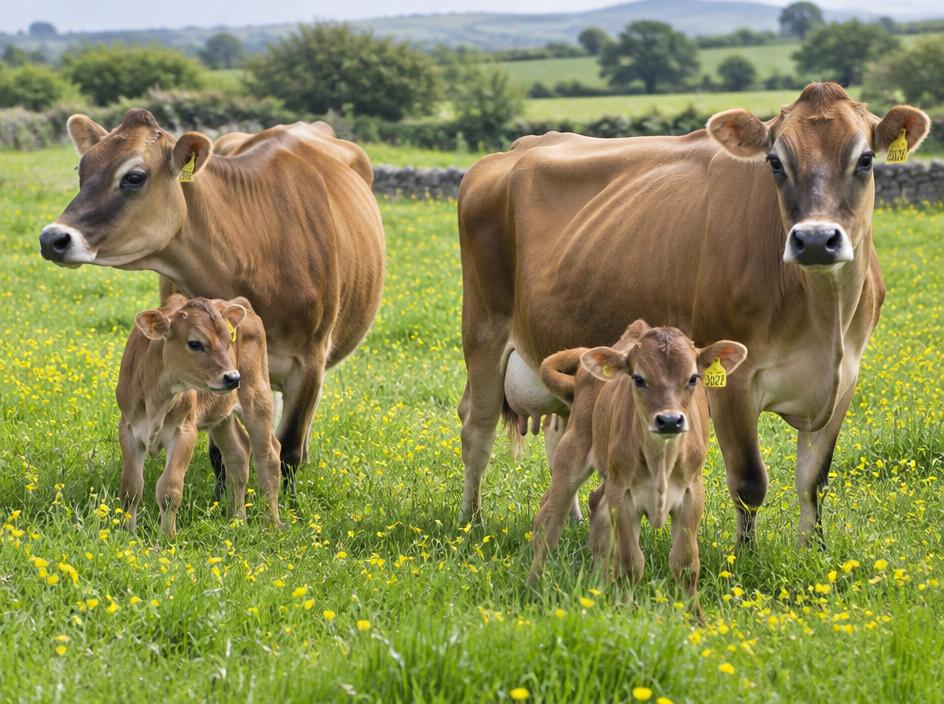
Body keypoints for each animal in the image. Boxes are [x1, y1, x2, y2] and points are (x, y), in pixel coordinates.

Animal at [39, 110, 385, 495]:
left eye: (134, 176)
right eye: (81, 171)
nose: (52, 238)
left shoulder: (309, 361)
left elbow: (290, 450)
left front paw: (290, 504)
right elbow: (221, 451)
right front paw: (223, 502)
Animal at [118, 295, 281, 536]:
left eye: (228, 340)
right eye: (194, 343)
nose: (233, 377)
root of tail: (240, 301)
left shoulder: (184, 431)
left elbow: (169, 488)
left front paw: (167, 536)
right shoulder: (128, 428)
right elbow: (131, 487)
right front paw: (128, 532)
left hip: (258, 398)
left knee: (268, 457)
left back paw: (272, 524)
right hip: (222, 415)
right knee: (237, 454)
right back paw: (237, 520)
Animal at [456, 82, 930, 547]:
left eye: (865, 159)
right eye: (775, 162)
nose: (814, 240)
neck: (824, 316)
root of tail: (519, 146)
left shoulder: (845, 379)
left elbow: (813, 480)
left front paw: (813, 550)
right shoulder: (734, 382)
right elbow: (749, 482)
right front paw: (745, 557)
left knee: (562, 437)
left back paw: (569, 522)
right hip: (482, 330)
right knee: (476, 426)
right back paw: (470, 523)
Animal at [527, 320, 747, 616]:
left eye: (693, 378)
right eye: (639, 379)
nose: (670, 420)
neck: (661, 461)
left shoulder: (692, 494)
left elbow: (685, 563)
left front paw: (696, 618)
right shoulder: (623, 497)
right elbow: (631, 563)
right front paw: (625, 612)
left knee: (596, 511)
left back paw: (599, 586)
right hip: (573, 450)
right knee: (549, 522)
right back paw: (534, 586)